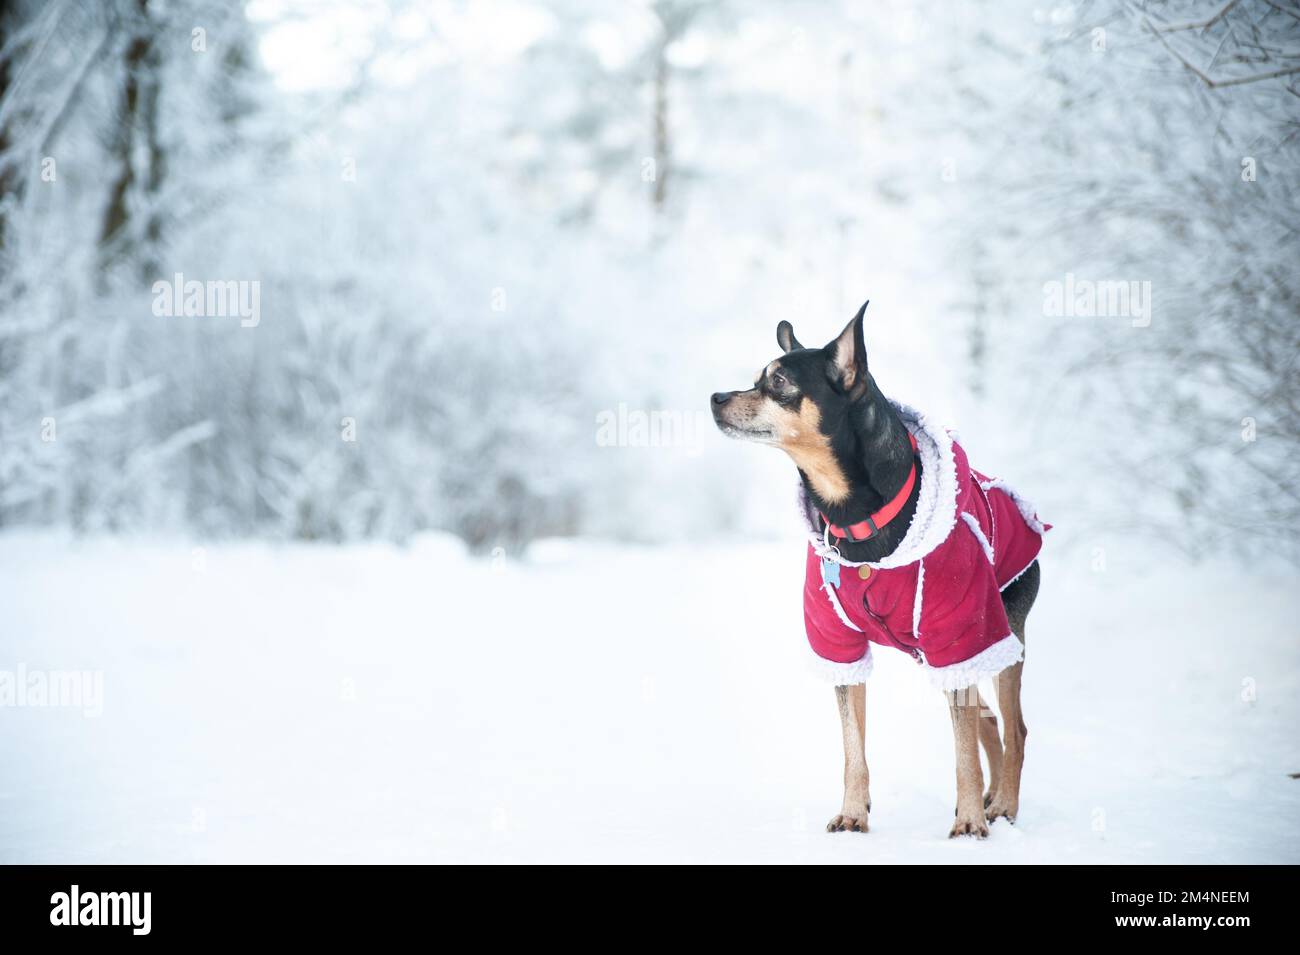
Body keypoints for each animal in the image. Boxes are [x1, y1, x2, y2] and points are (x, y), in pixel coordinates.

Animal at [712, 300, 1045, 836]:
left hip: (996, 636)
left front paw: (970, 824)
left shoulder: (961, 630)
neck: (856, 518)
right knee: (987, 720)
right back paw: (994, 796)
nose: (715, 397)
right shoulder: (840, 643)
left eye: (779, 381)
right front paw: (852, 812)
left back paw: (1003, 806)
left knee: (1013, 726)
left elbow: (963, 753)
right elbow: (854, 748)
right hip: (940, 652)